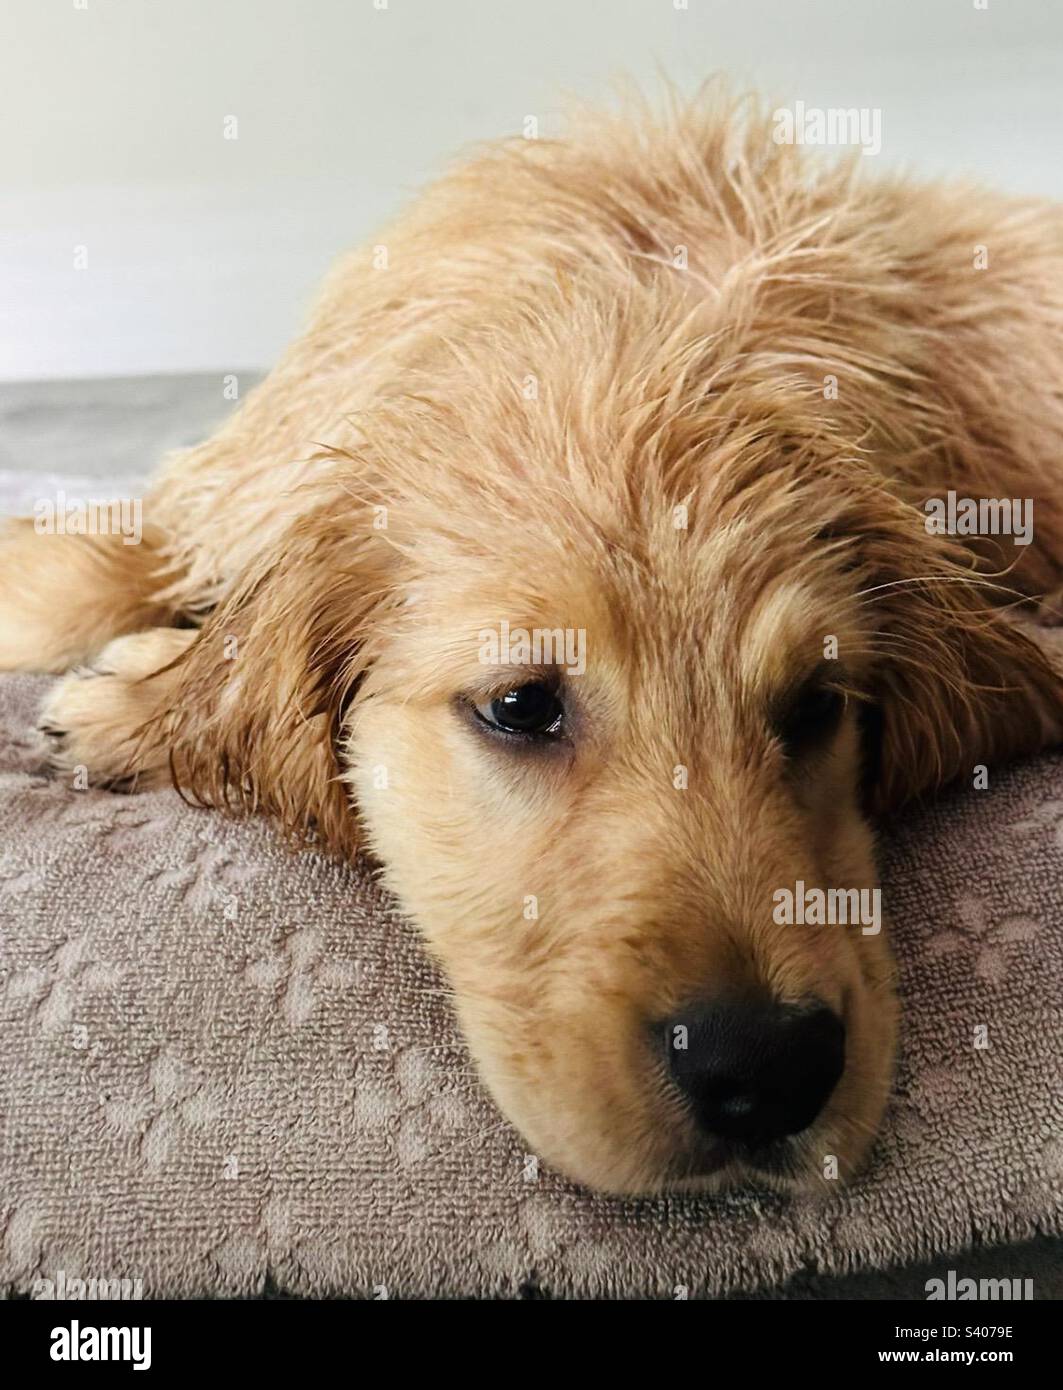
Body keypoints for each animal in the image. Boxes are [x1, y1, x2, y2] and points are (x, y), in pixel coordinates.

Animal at [2, 89, 1061, 1195]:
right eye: (520, 706)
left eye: (816, 706)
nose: (767, 1072)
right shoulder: (260, 459)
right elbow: (121, 559)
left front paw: (131, 699)